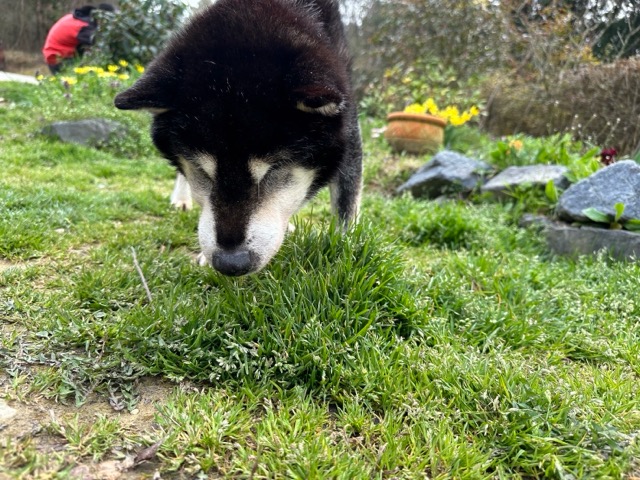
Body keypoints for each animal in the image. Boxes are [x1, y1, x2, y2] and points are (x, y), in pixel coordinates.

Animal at [114, 0, 362, 276]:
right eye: (202, 171)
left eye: (274, 170)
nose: (231, 263)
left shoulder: (348, 127)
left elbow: (346, 201)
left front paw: (345, 248)